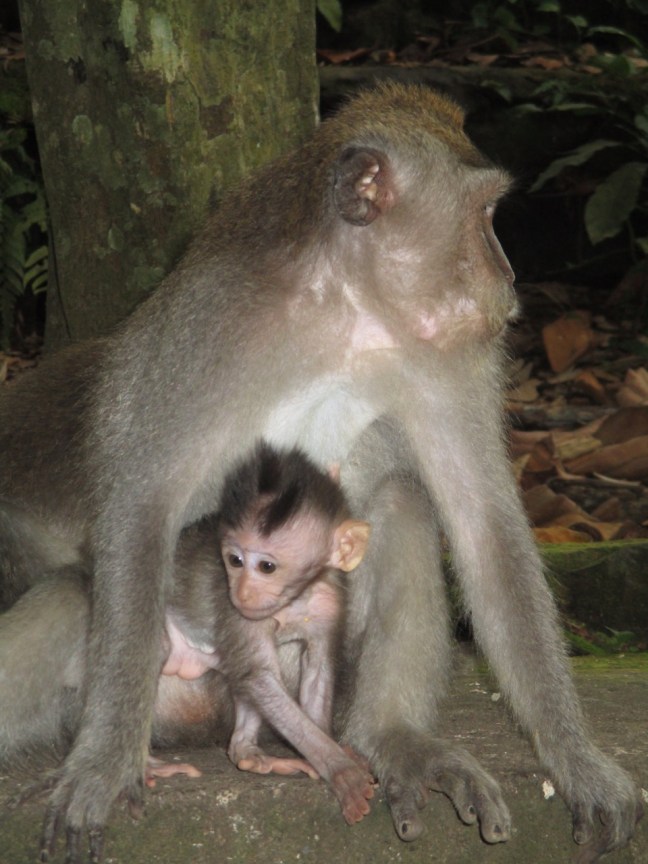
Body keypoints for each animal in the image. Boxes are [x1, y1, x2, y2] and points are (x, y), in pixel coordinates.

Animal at [0, 443, 374, 825]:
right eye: (234, 560)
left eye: (267, 566)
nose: (242, 592)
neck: (295, 599)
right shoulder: (235, 611)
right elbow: (260, 677)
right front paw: (342, 770)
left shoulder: (328, 602)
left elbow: (313, 673)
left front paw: (325, 754)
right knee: (160, 653)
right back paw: (142, 763)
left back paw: (245, 752)